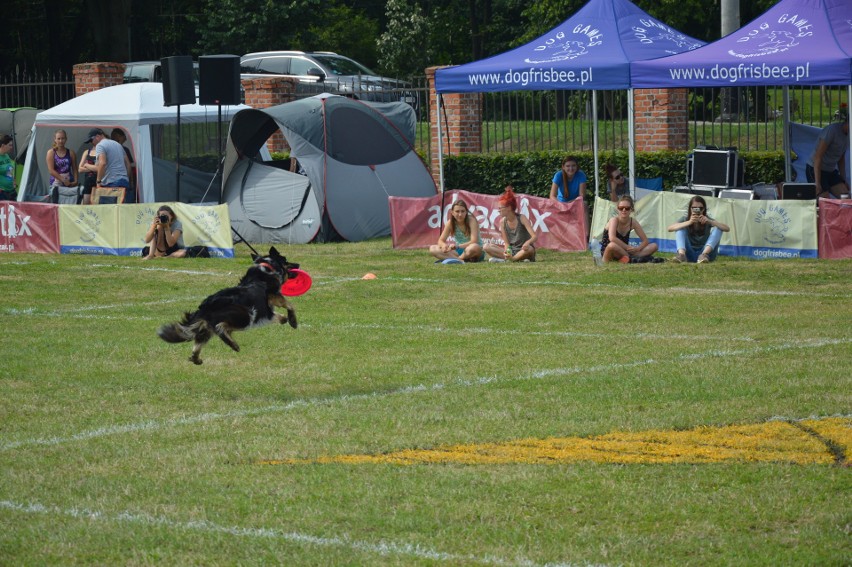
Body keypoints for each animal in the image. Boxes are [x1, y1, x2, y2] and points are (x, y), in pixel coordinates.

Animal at [158, 247, 302, 364]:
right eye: (286, 260)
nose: (298, 264)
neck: (267, 268)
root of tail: (206, 306)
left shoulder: (266, 311)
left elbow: (279, 316)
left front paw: (285, 320)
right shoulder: (274, 296)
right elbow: (290, 305)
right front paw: (293, 322)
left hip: (209, 326)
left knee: (201, 341)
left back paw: (196, 358)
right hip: (246, 315)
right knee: (221, 328)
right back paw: (233, 344)